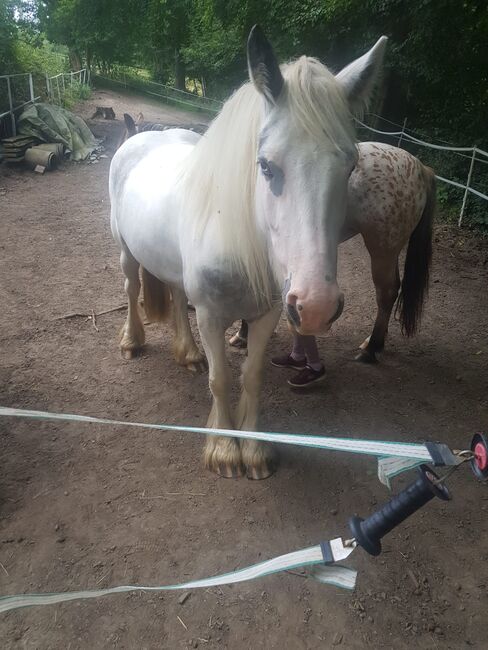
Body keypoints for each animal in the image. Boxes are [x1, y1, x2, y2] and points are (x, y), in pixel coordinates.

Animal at [108, 26, 386, 476]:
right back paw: (132, 342)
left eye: (349, 167)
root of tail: (142, 138)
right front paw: (224, 449)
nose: (317, 306)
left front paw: (253, 449)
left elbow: (252, 375)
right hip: (126, 252)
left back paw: (188, 354)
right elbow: (221, 379)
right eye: (266, 166)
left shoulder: (270, 312)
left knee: (176, 294)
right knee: (132, 289)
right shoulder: (210, 315)